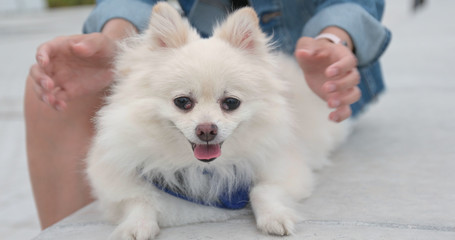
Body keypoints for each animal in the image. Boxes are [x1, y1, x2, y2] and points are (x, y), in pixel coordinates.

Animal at [85, 1, 350, 238]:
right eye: (182, 102)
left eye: (230, 103)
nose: (206, 130)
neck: (203, 168)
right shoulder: (116, 181)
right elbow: (138, 200)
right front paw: (136, 225)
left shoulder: (286, 168)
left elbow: (263, 190)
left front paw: (274, 217)